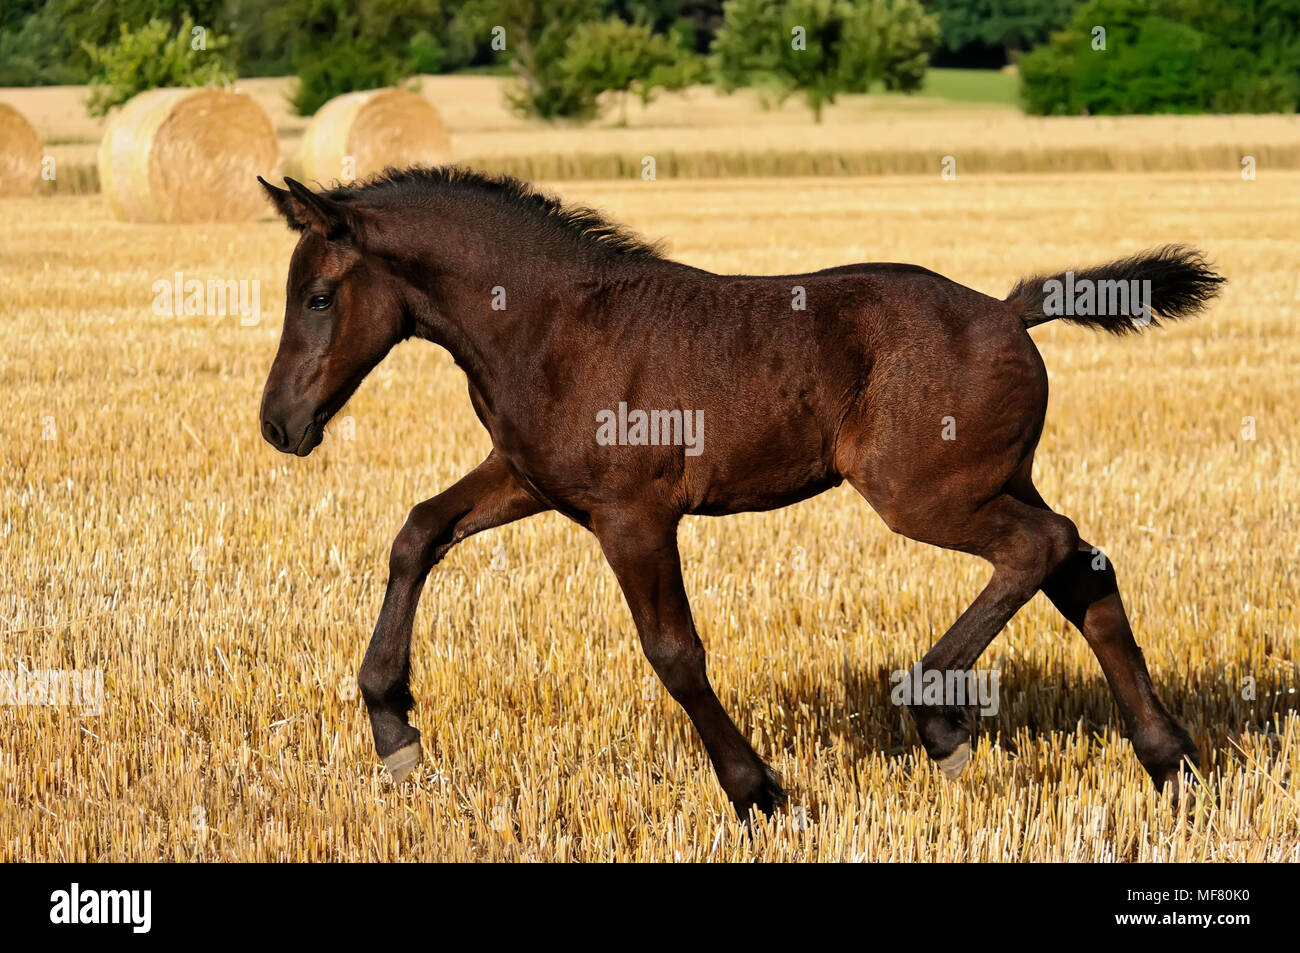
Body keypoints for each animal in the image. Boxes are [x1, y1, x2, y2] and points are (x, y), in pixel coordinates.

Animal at [256, 168, 1224, 818]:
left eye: (318, 295)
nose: (278, 424)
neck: (548, 323)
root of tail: (1010, 310)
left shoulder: (634, 514)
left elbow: (674, 651)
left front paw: (758, 790)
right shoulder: (530, 479)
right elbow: (417, 532)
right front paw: (393, 729)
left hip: (924, 492)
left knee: (1043, 547)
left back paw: (939, 719)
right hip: (993, 476)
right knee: (1083, 570)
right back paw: (1172, 762)